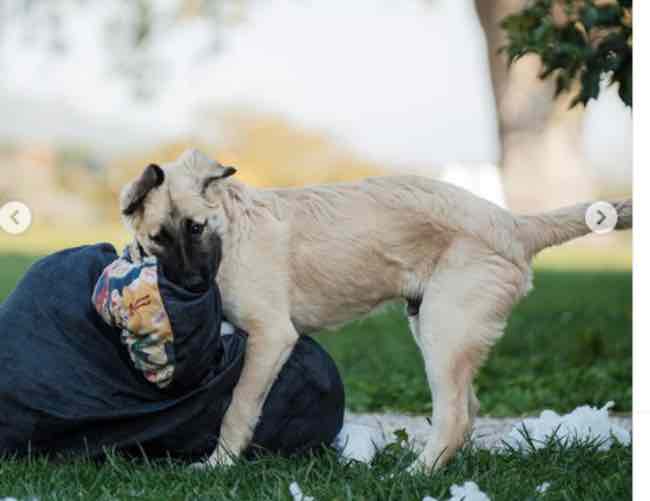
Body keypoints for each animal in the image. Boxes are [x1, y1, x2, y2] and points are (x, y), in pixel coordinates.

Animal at [119, 150, 632, 470]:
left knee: (454, 417)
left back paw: (412, 476)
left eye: (196, 227)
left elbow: (239, 406)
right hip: (436, 326)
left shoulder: (271, 335)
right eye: (159, 239)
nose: (190, 286)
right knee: (467, 410)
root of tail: (513, 224)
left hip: (444, 331)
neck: (232, 230)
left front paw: (219, 464)